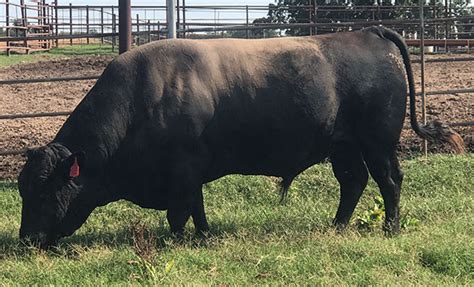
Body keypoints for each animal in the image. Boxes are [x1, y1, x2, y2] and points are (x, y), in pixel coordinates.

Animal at [16, 26, 462, 248]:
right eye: (23, 190)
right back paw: (336, 226)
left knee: (389, 180)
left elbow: (179, 213)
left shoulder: (183, 170)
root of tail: (372, 33)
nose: (26, 239)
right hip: (344, 146)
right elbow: (195, 208)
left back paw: (390, 228)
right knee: (353, 182)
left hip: (378, 141)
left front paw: (179, 240)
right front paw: (203, 234)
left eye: (45, 192)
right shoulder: (190, 174)